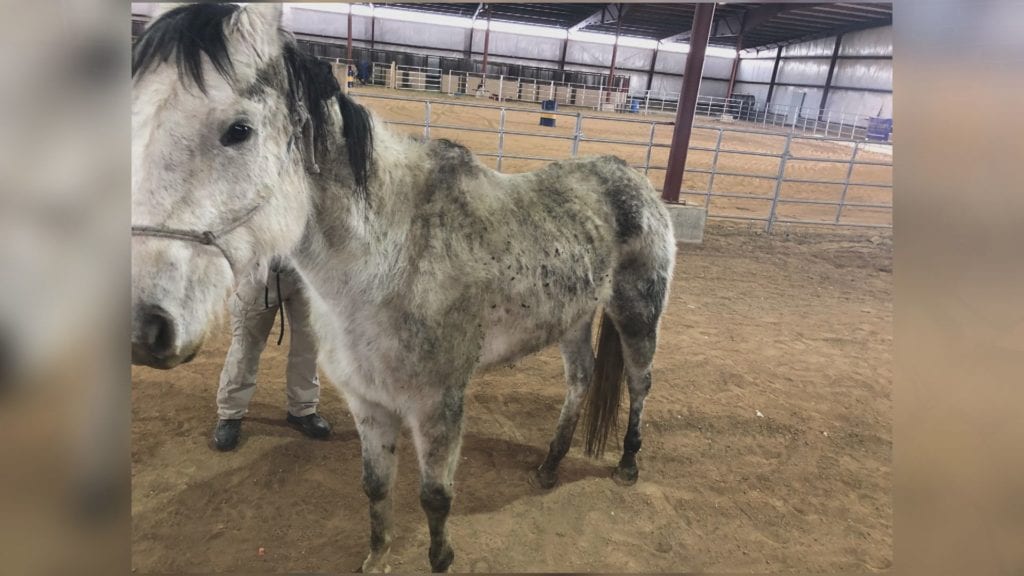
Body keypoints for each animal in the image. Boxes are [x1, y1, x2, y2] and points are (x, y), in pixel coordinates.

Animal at [132, 3, 675, 569]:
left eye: (238, 130)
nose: (146, 326)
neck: (390, 260)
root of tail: (635, 181)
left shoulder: (438, 406)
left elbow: (435, 497)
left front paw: (440, 558)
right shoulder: (369, 404)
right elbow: (376, 488)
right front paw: (376, 559)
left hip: (638, 315)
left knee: (640, 384)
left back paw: (628, 465)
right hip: (573, 318)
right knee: (580, 380)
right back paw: (549, 466)